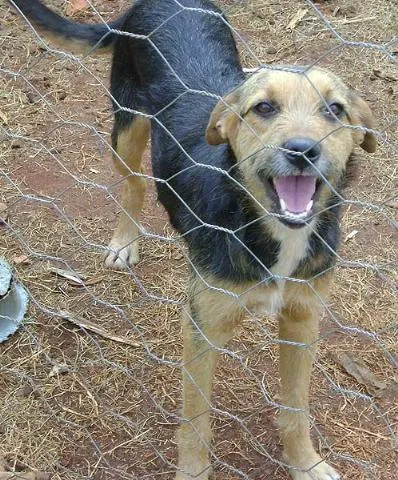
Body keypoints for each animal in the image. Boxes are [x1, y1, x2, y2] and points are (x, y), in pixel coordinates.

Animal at [9, 1, 376, 478]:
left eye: (335, 109)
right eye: (263, 107)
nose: (301, 150)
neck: (266, 230)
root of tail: (147, 5)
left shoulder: (302, 319)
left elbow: (296, 408)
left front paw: (306, 463)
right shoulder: (202, 327)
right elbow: (196, 421)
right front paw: (194, 471)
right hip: (126, 125)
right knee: (134, 183)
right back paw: (124, 241)